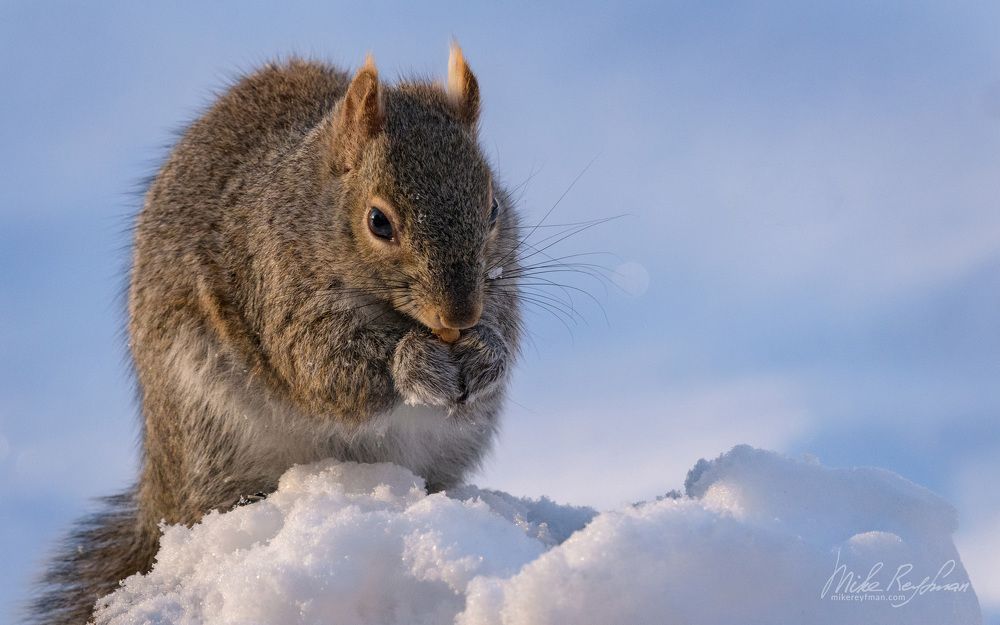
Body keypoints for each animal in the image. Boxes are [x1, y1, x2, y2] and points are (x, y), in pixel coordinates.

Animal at [30, 43, 522, 625]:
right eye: (378, 222)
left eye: (493, 208)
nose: (459, 316)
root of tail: (159, 497)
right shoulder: (273, 285)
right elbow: (318, 365)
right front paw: (415, 364)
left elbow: (507, 322)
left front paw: (488, 351)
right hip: (214, 437)